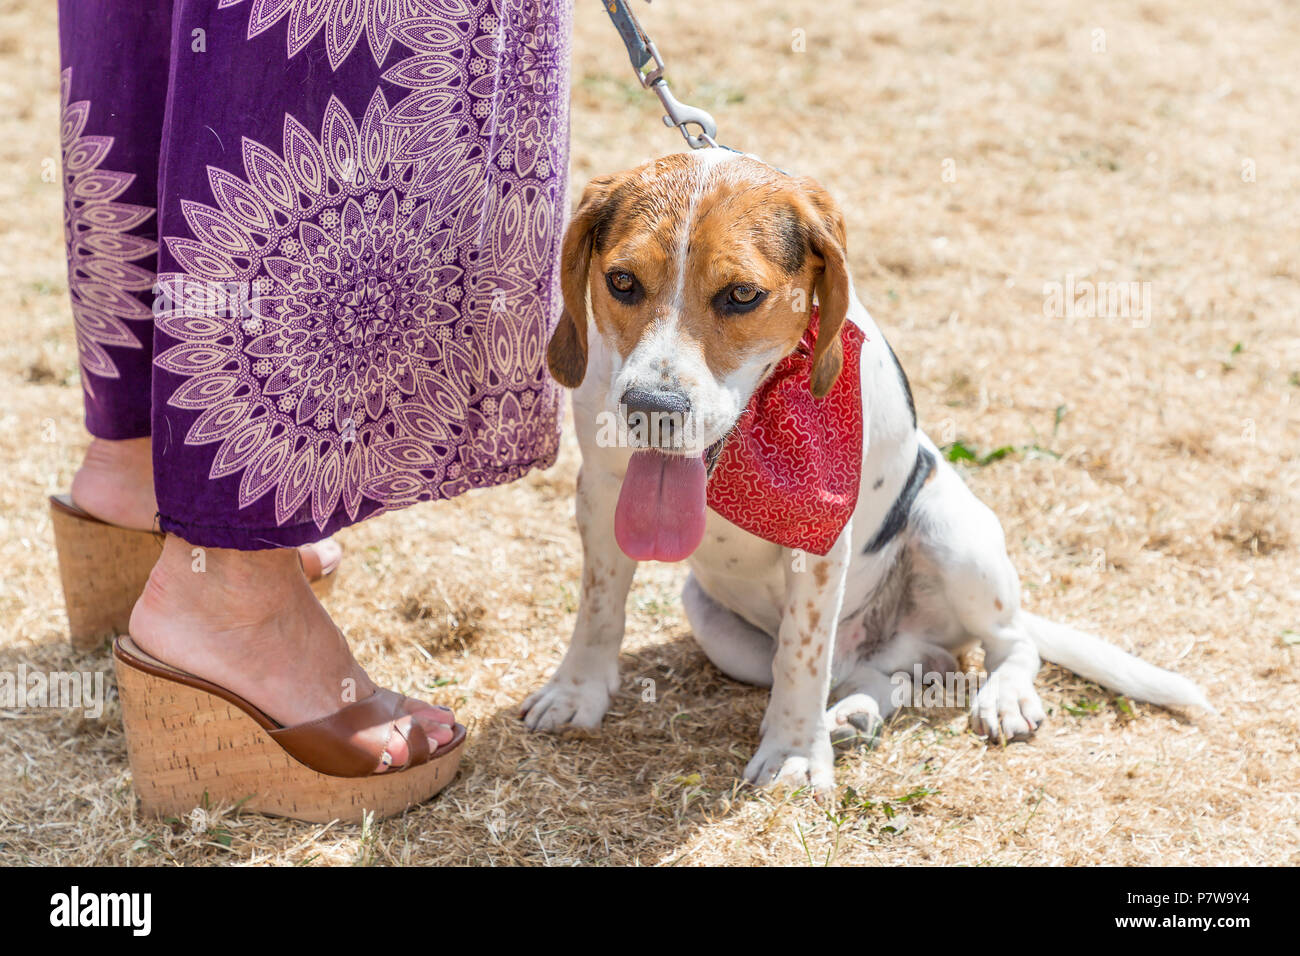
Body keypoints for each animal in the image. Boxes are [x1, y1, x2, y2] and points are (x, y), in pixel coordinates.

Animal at [517, 151, 1206, 790]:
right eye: (622, 281)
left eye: (742, 295)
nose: (651, 409)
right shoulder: (600, 494)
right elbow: (599, 608)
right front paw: (578, 692)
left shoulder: (821, 542)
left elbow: (801, 657)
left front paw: (794, 753)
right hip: (718, 627)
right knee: (895, 670)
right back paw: (854, 713)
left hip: (954, 535)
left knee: (1008, 643)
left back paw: (999, 696)